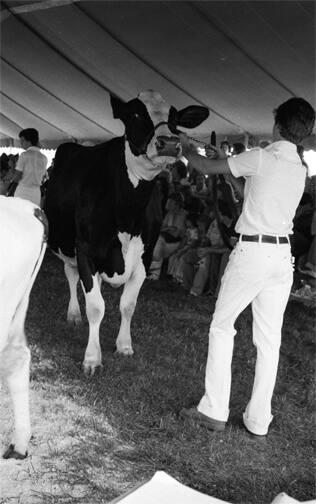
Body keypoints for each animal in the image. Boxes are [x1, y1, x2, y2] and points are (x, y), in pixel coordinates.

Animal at [43, 90, 209, 374]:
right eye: (135, 114)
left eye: (175, 119)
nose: (168, 142)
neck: (127, 216)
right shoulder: (85, 250)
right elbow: (96, 307)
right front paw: (92, 358)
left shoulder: (144, 256)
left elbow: (128, 305)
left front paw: (124, 345)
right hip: (66, 244)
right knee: (71, 275)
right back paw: (74, 314)